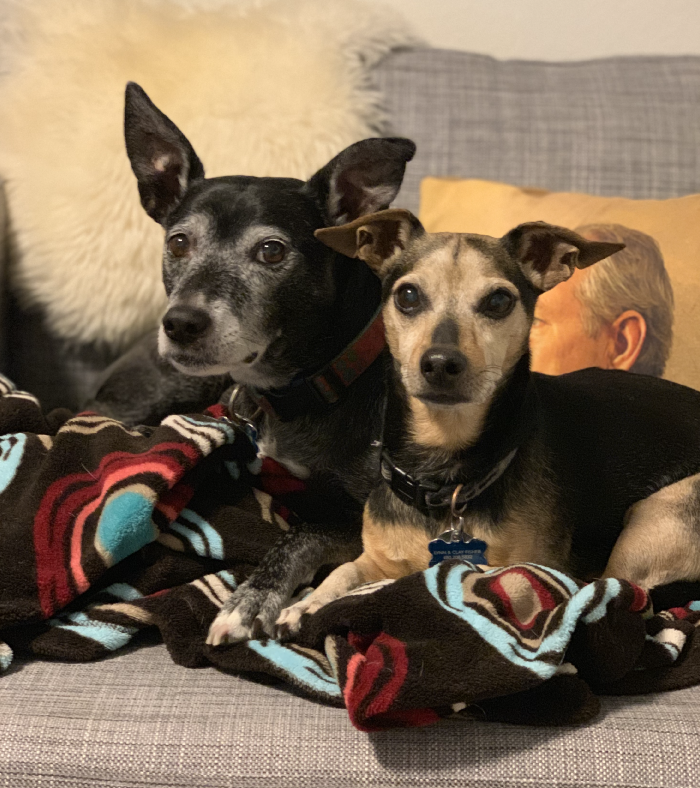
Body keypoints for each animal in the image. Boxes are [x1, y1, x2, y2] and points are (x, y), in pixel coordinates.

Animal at [97, 83, 416, 644]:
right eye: (178, 242)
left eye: (271, 251)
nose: (181, 323)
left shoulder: (365, 517)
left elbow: (303, 534)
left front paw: (251, 599)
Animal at [276, 209, 700, 636]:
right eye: (407, 296)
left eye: (498, 301)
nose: (440, 363)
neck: (442, 472)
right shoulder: (374, 556)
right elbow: (344, 571)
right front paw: (307, 604)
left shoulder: (524, 575)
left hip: (658, 516)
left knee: (628, 593)